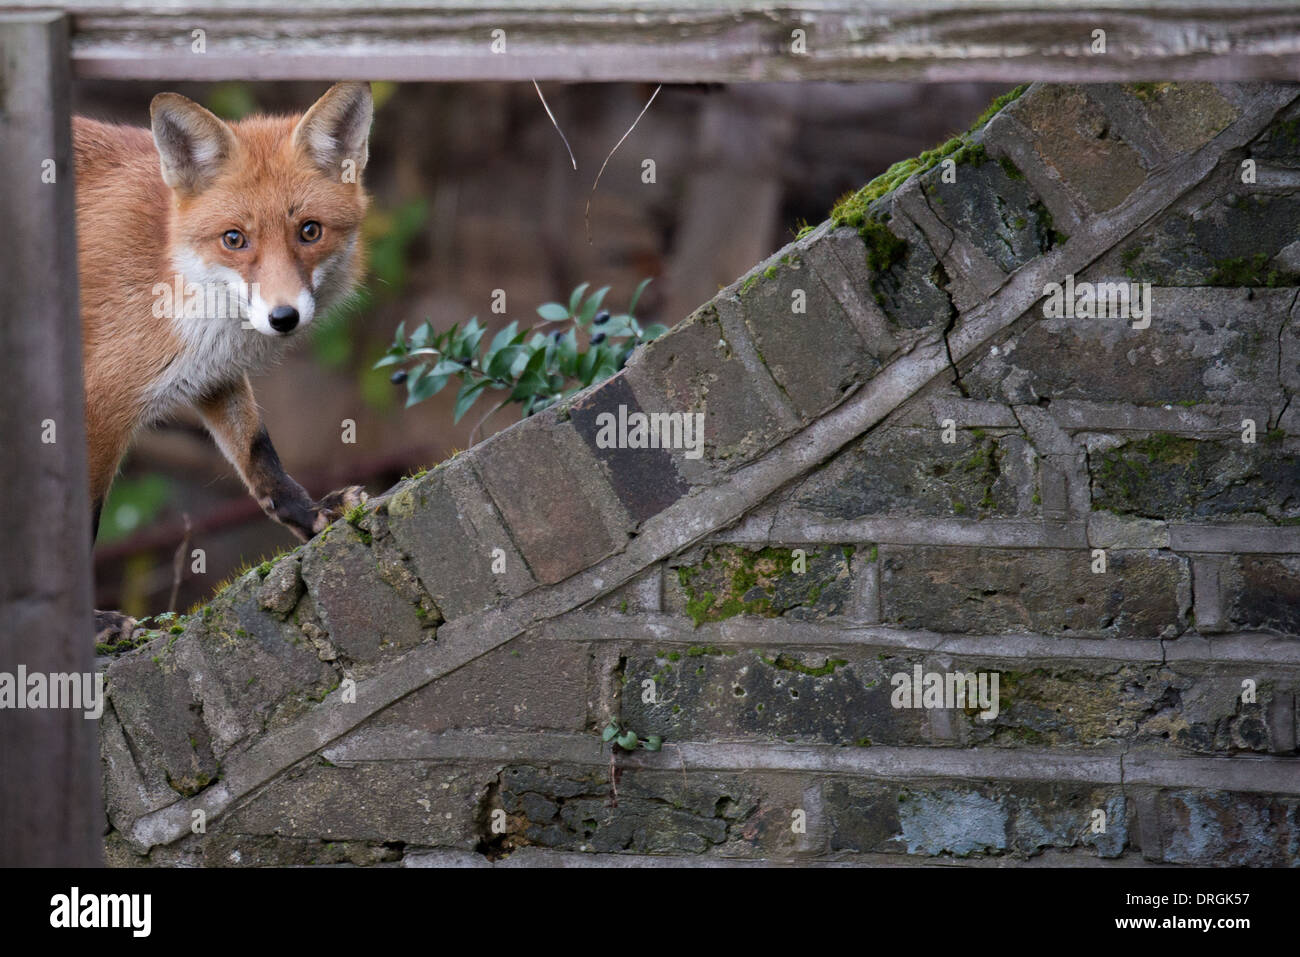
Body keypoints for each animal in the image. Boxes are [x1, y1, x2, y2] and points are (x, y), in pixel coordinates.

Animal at [75, 80, 374, 634]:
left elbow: (259, 456)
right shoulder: (96, 402)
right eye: (235, 239)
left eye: (310, 231)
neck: (169, 266)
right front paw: (89, 626)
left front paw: (314, 516)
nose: (283, 317)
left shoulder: (211, 373)